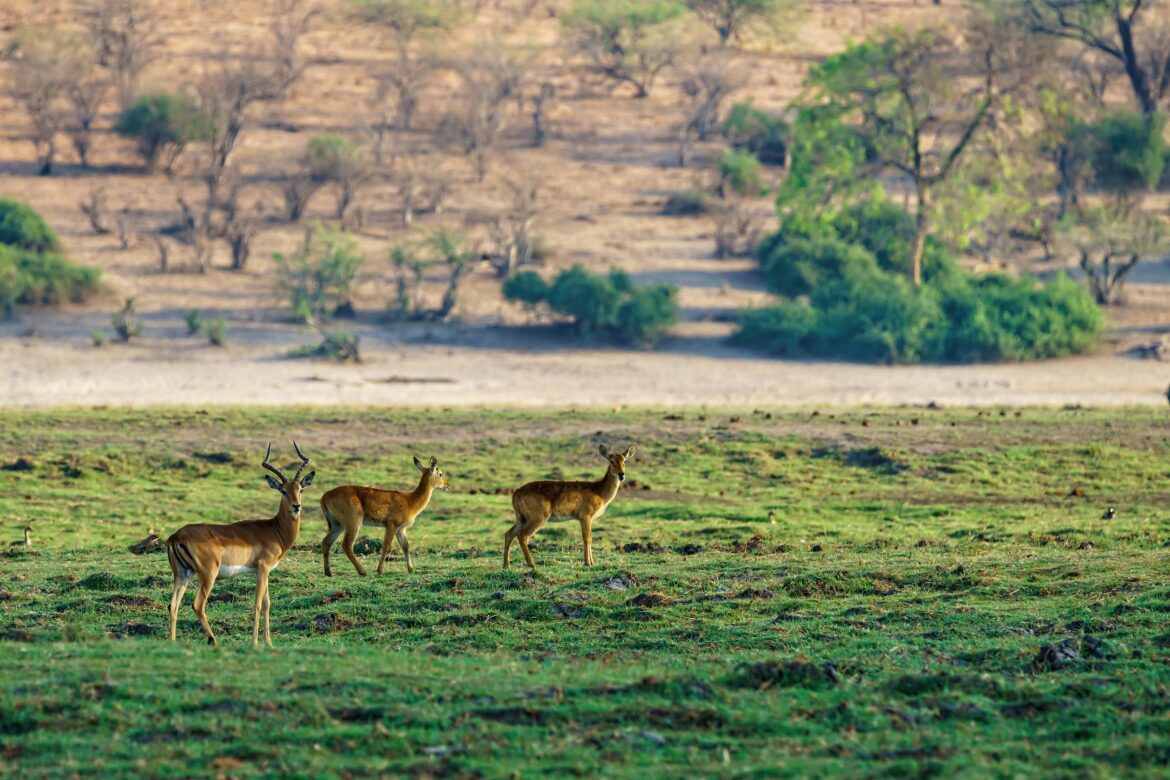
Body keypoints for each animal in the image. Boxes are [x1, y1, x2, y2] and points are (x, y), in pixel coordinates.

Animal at [165, 442, 315, 647]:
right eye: (283, 491)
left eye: (301, 489)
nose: (296, 507)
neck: (274, 529)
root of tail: (175, 537)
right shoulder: (262, 568)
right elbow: (258, 604)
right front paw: (255, 643)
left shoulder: (266, 571)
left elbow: (267, 604)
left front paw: (268, 642)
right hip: (208, 575)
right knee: (197, 605)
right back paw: (213, 640)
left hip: (182, 574)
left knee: (173, 605)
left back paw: (172, 643)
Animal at [319, 456, 450, 577]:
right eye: (440, 473)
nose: (448, 486)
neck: (410, 501)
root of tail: (325, 496)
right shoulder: (391, 525)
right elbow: (386, 546)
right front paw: (380, 570)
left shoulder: (401, 529)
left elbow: (406, 546)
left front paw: (411, 569)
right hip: (353, 524)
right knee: (346, 545)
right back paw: (362, 571)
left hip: (338, 525)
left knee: (326, 542)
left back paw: (328, 572)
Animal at [505, 444, 636, 572]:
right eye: (612, 461)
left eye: (624, 461)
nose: (621, 475)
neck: (599, 491)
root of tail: (516, 493)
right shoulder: (585, 516)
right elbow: (587, 537)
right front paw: (587, 563)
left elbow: (590, 537)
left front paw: (592, 562)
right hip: (537, 518)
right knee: (522, 535)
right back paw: (532, 564)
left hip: (521, 518)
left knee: (509, 534)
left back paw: (506, 565)